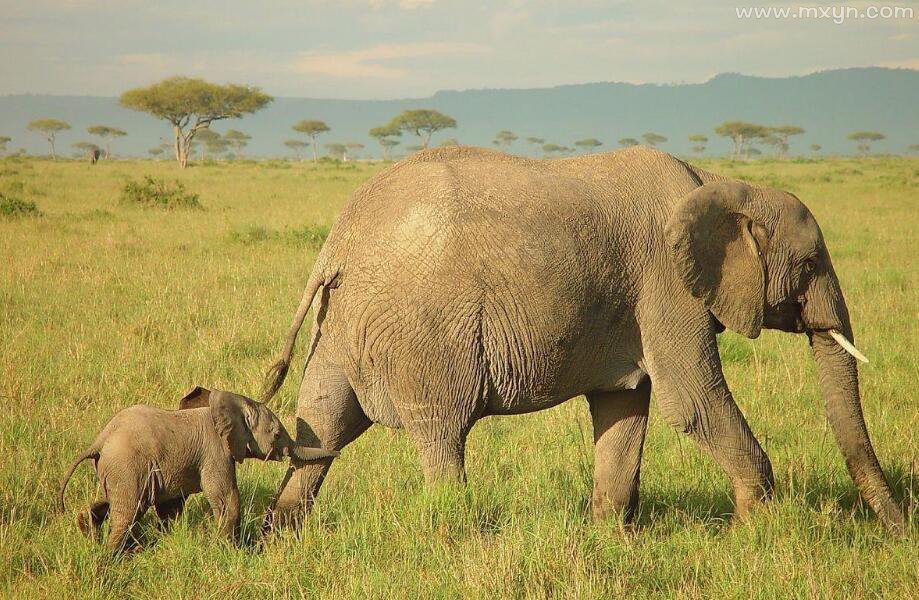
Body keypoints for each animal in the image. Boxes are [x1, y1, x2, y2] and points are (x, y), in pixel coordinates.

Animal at [58, 384, 338, 552]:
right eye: (277, 434)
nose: (337, 452)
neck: (231, 403)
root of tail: (100, 440)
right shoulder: (216, 452)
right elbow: (227, 498)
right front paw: (230, 550)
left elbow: (171, 506)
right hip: (128, 466)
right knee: (128, 512)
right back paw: (111, 557)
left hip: (117, 470)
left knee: (115, 502)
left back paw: (87, 531)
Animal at [260, 145, 904, 528]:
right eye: (811, 261)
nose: (897, 531)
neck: (720, 183)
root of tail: (338, 240)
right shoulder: (666, 285)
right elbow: (690, 401)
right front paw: (758, 530)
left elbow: (625, 404)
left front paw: (610, 534)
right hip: (423, 329)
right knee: (440, 432)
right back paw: (461, 533)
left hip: (343, 324)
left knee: (324, 424)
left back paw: (275, 536)